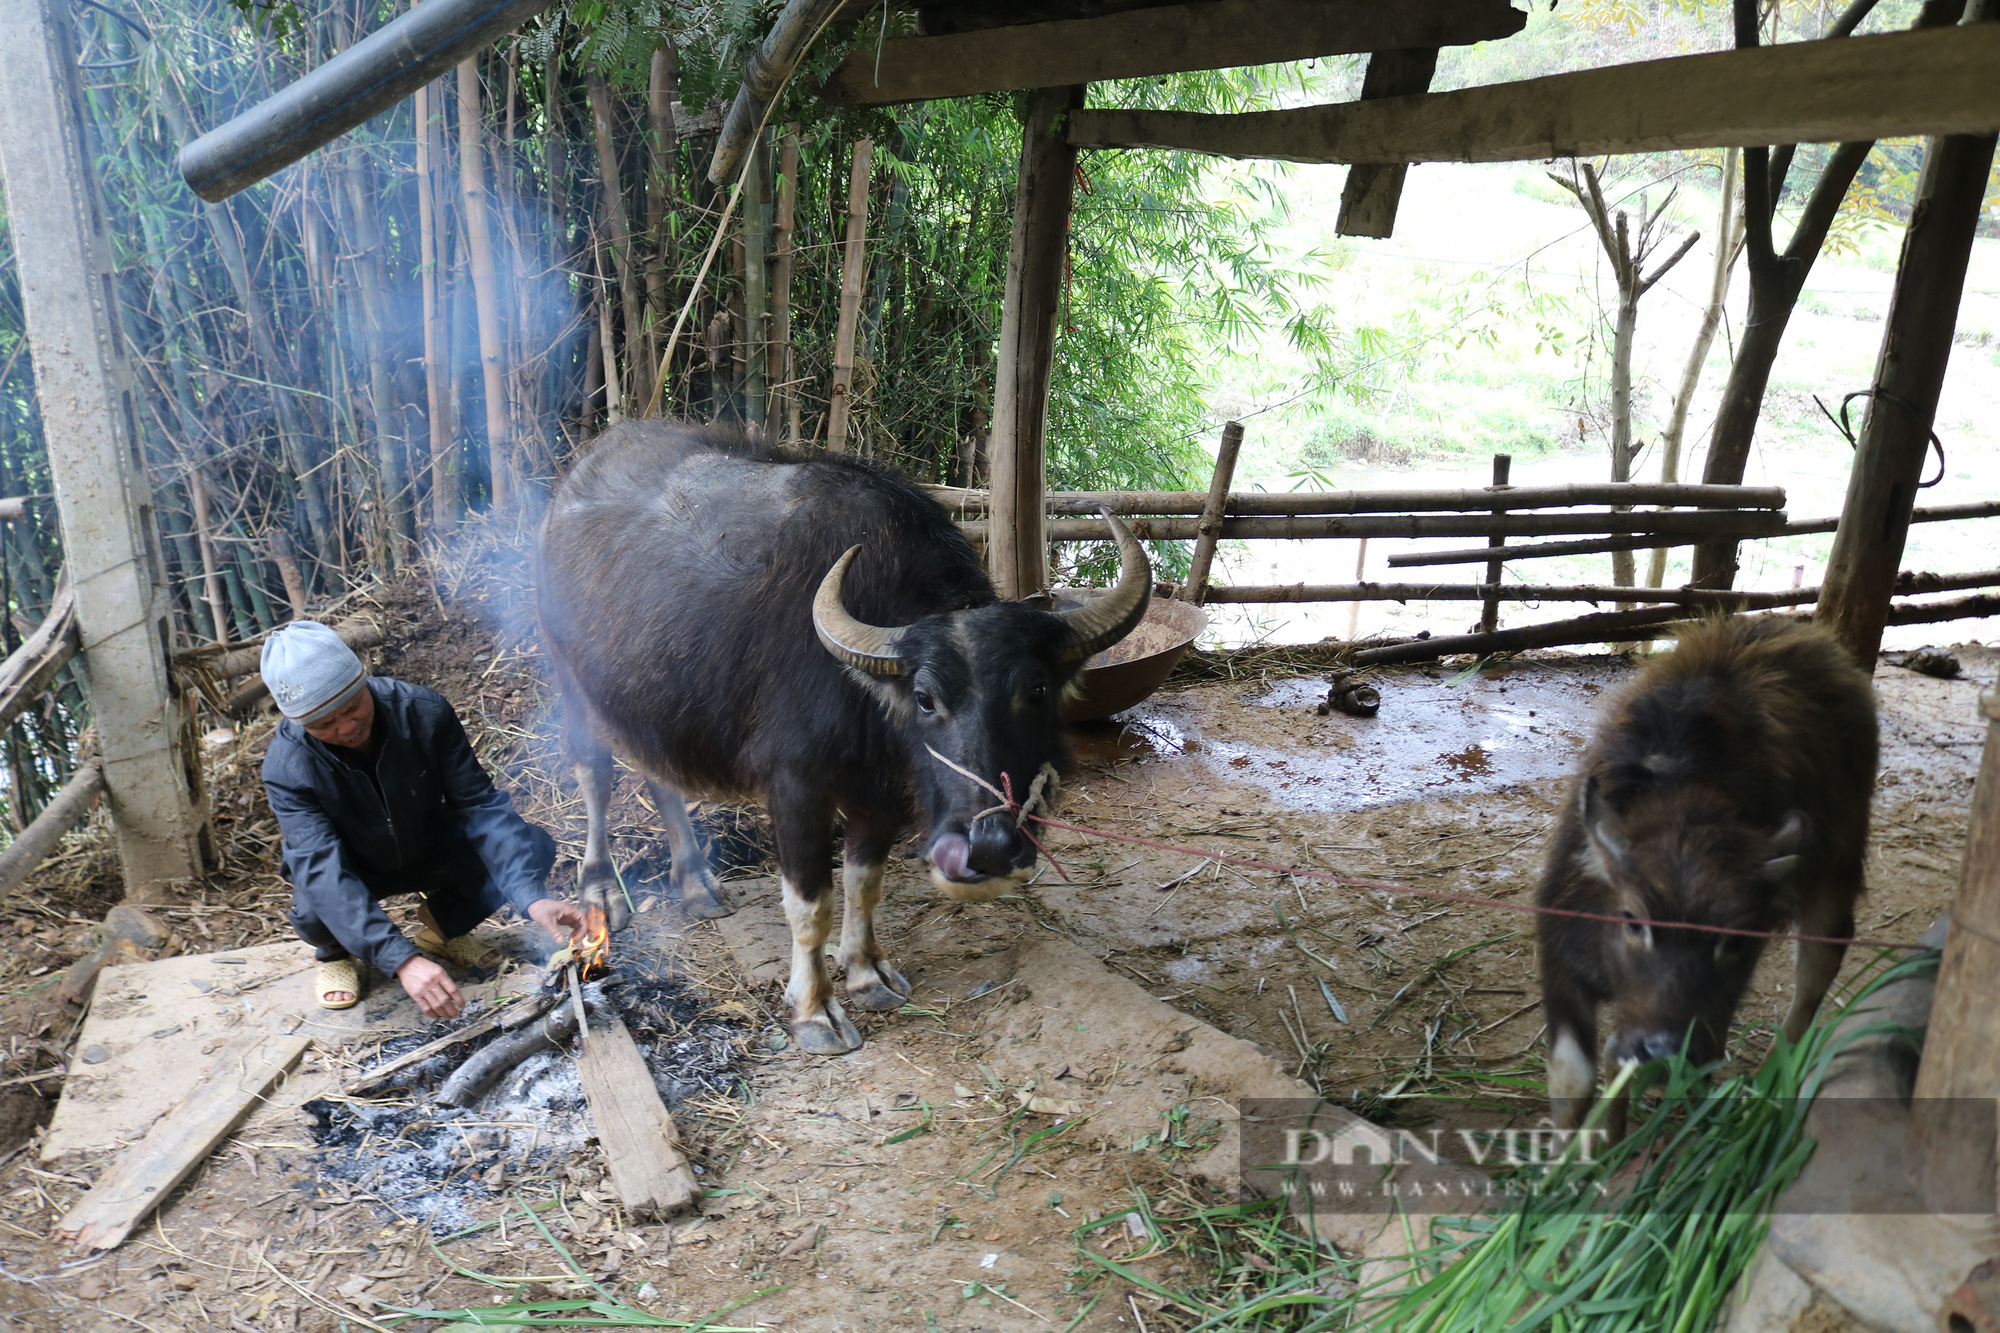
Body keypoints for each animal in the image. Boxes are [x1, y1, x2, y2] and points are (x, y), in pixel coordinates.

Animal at [540, 420, 1152, 1056]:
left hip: (657, 702)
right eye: (926, 698)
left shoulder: (878, 793)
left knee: (661, 777)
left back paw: (697, 884)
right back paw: (600, 892)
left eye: (1036, 689)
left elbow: (863, 886)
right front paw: (814, 1010)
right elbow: (812, 906)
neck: (862, 695)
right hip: (571, 686)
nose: (987, 846)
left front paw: (866, 973)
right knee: (596, 776)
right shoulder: (795, 787)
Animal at [1528, 608, 1872, 1120]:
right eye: (1632, 919)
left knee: (1819, 960)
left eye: (1735, 939)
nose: (1665, 1049)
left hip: (1838, 865)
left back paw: (1768, 1082)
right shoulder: (1559, 953)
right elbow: (1576, 1079)